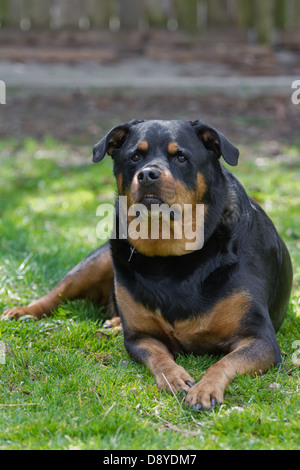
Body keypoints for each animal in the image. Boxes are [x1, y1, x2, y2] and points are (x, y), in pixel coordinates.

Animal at [1, 119, 292, 410]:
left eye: (181, 157)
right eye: (135, 157)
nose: (148, 174)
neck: (172, 255)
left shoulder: (260, 339)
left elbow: (225, 362)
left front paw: (205, 388)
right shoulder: (140, 338)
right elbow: (160, 357)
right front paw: (174, 377)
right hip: (99, 260)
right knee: (58, 293)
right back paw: (23, 311)